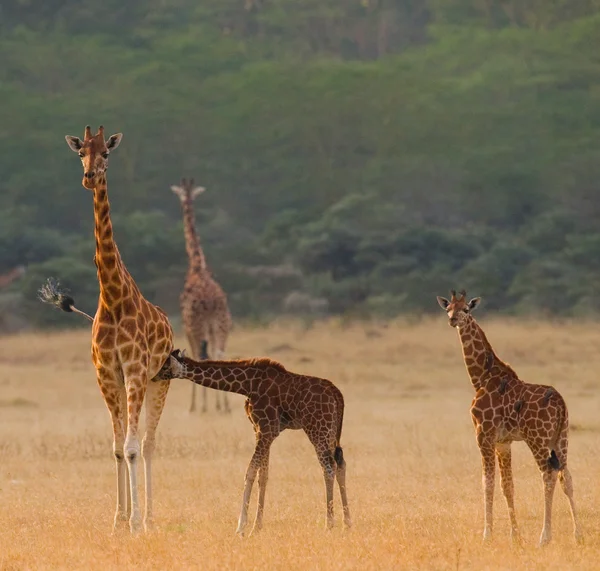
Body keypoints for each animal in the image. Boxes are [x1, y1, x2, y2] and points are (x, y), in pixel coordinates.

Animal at [66, 126, 173, 536]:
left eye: (107, 154)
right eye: (80, 152)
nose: (89, 177)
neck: (112, 296)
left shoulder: (137, 370)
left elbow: (131, 447)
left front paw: (137, 523)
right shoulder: (107, 373)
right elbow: (115, 448)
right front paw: (118, 521)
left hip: (159, 380)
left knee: (149, 442)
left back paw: (152, 517)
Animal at [155, 346, 352, 540]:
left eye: (165, 365)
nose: (153, 376)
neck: (247, 385)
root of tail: (338, 395)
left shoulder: (267, 429)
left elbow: (250, 472)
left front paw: (241, 527)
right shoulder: (260, 430)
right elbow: (263, 476)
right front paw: (257, 527)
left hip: (317, 428)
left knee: (328, 467)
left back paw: (329, 525)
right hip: (332, 431)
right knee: (340, 463)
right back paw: (347, 524)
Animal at [171, 177, 234, 414]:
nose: (183, 201)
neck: (198, 267)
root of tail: (210, 302)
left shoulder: (187, 327)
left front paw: (195, 406)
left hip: (198, 326)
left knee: (203, 355)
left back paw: (203, 406)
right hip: (222, 324)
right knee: (220, 354)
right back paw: (224, 405)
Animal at [436, 292, 580, 548]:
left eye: (466, 310)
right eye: (448, 308)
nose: (453, 320)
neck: (481, 378)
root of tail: (561, 404)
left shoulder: (483, 434)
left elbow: (487, 482)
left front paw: (487, 534)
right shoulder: (504, 442)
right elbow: (507, 485)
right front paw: (516, 535)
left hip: (537, 439)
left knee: (548, 475)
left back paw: (544, 537)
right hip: (561, 438)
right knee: (567, 476)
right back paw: (578, 535)